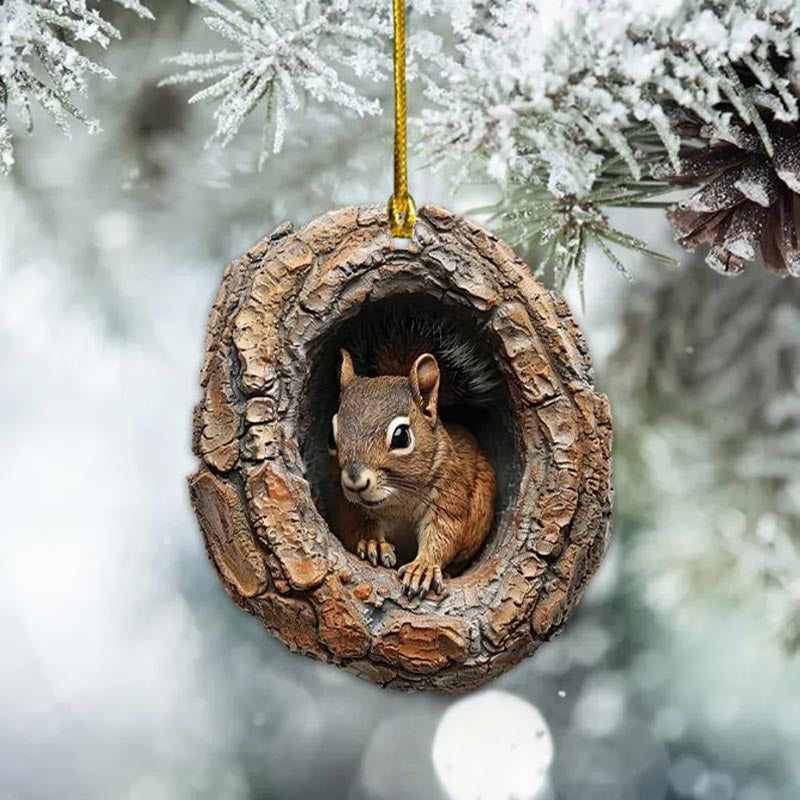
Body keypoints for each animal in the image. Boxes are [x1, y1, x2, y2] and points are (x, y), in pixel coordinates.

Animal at [327, 308, 497, 598]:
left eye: (401, 437)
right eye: (331, 436)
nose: (355, 481)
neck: (398, 498)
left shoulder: (449, 494)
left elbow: (444, 533)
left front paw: (424, 567)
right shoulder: (348, 505)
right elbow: (356, 525)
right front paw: (373, 542)